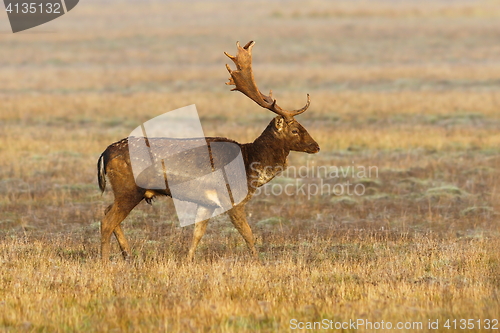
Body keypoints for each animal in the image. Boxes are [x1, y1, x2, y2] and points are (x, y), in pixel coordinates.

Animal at [97, 40, 320, 260]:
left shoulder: (206, 203)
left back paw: (127, 254)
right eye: (294, 130)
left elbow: (197, 234)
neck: (250, 164)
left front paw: (187, 261)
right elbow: (248, 234)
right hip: (129, 189)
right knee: (107, 221)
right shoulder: (232, 198)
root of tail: (105, 154)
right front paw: (258, 261)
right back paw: (106, 261)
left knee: (107, 212)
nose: (316, 146)